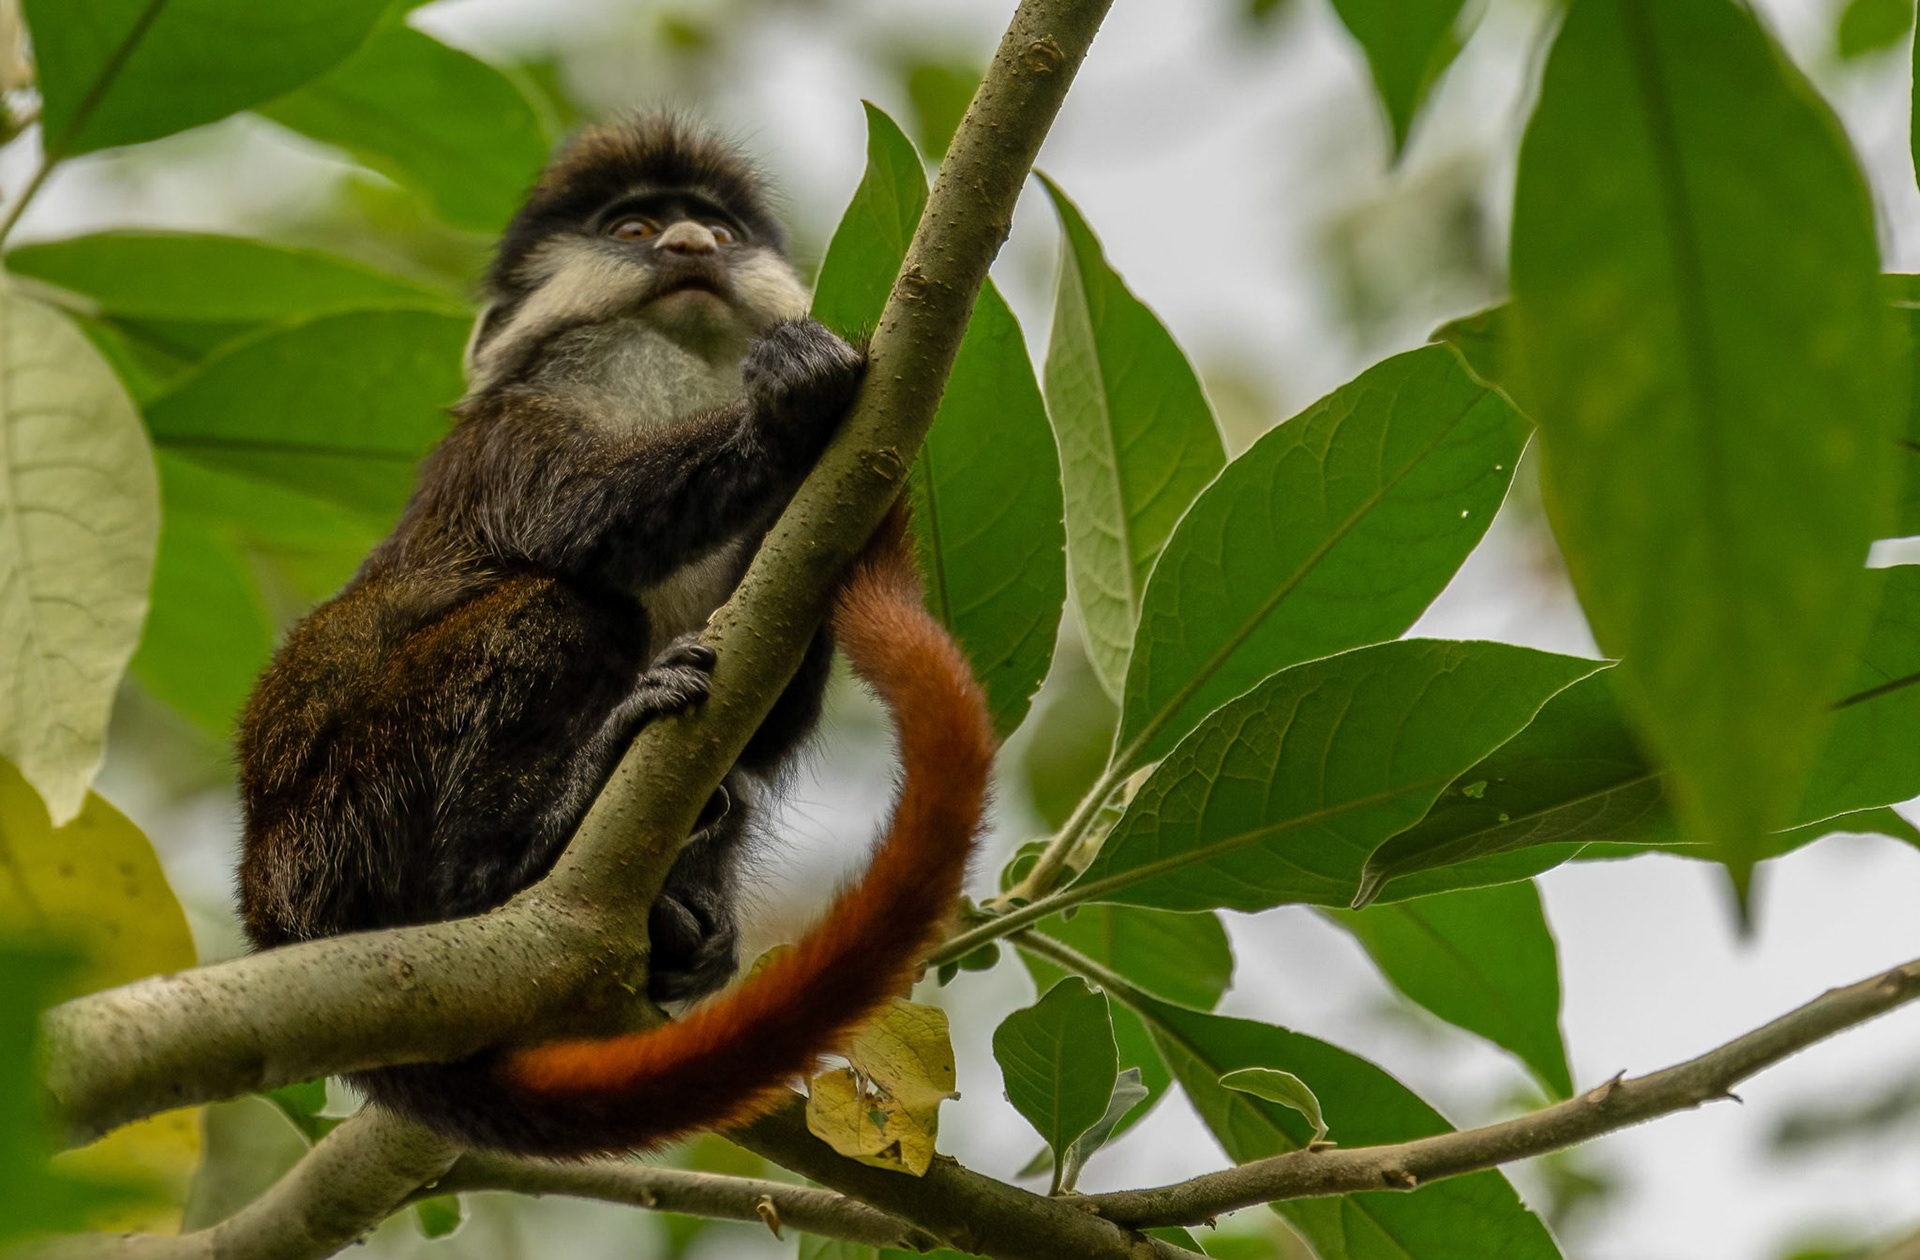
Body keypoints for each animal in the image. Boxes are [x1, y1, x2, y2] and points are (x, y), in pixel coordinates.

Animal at [235, 114, 994, 1156]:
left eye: (719, 229)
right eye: (633, 230)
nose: (691, 246)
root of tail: (274, 909)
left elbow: (769, 719)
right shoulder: (504, 436)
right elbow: (579, 516)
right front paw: (787, 406)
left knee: (732, 779)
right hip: (351, 812)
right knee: (570, 608)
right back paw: (531, 843)